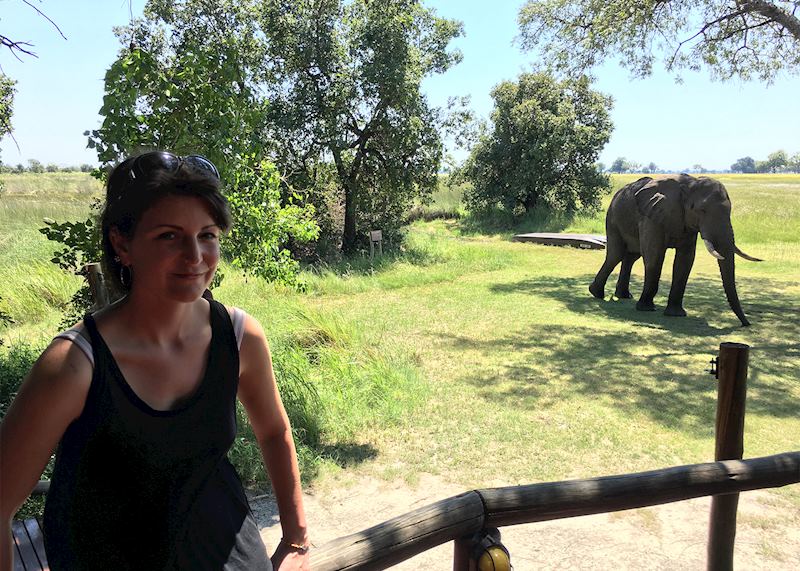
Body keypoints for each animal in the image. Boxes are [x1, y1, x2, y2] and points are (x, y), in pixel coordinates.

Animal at [588, 174, 764, 326]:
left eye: (730, 211)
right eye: (701, 210)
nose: (746, 324)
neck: (690, 184)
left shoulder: (687, 223)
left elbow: (685, 261)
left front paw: (676, 314)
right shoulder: (652, 216)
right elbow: (654, 255)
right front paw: (646, 309)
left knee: (631, 257)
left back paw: (623, 296)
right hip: (612, 218)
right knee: (616, 255)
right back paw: (596, 293)